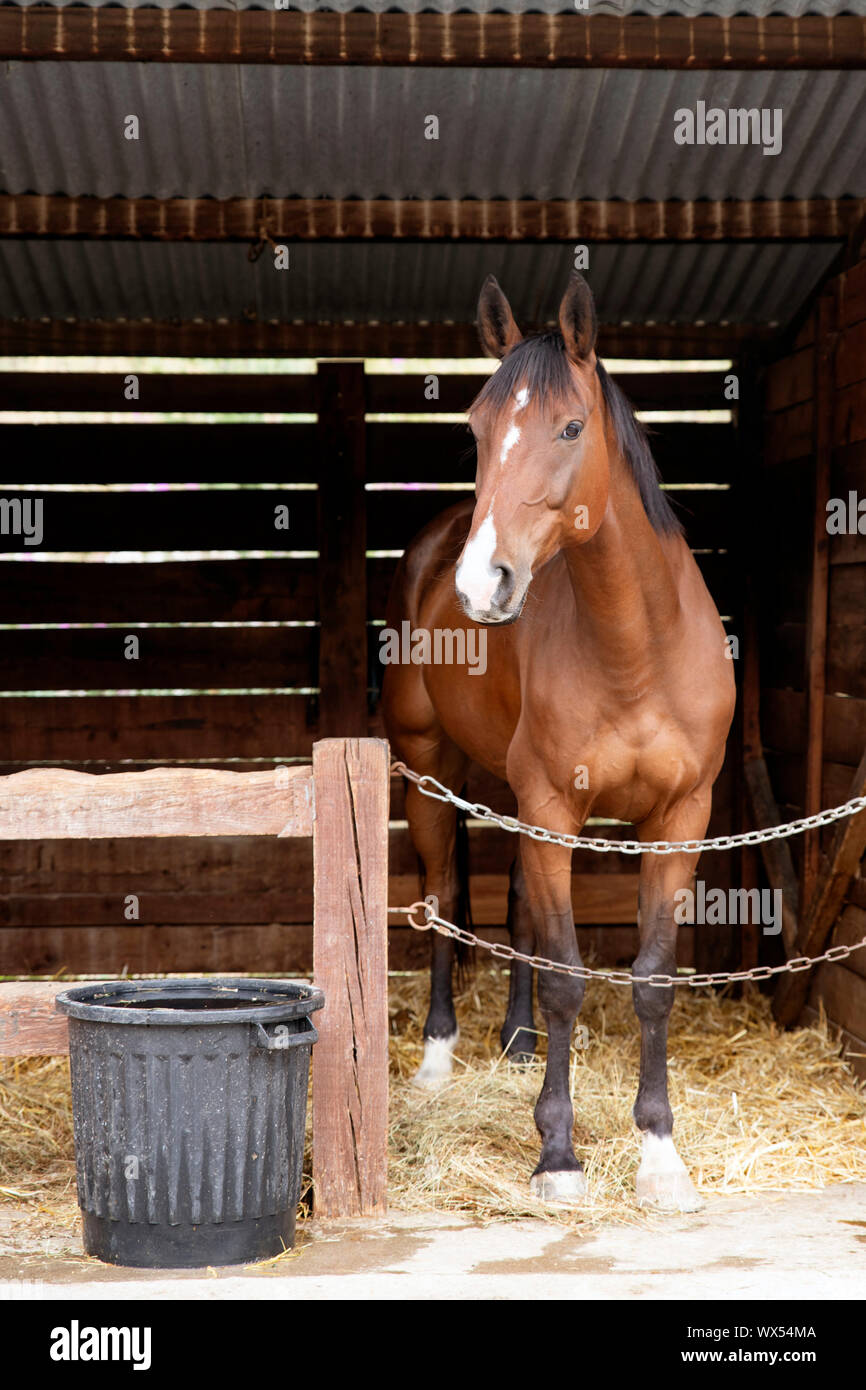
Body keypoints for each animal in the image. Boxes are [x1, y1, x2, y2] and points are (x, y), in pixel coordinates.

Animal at [381, 273, 736, 1211]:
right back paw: (439, 1057)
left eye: (571, 427)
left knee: (514, 913)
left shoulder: (679, 819)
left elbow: (649, 978)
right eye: (474, 427)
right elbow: (571, 976)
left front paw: (660, 1154)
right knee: (442, 898)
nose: (482, 583)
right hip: (428, 776)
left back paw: (515, 1040)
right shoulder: (552, 809)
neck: (636, 647)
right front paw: (558, 1155)